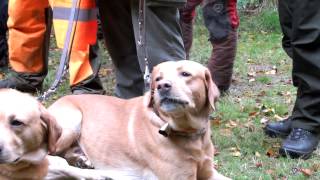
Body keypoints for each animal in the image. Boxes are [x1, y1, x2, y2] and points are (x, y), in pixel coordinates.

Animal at [49, 60, 230, 180]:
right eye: (158, 79)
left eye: (185, 74)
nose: (162, 86)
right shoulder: (180, 177)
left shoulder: (209, 171)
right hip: (73, 122)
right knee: (52, 157)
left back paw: (81, 159)